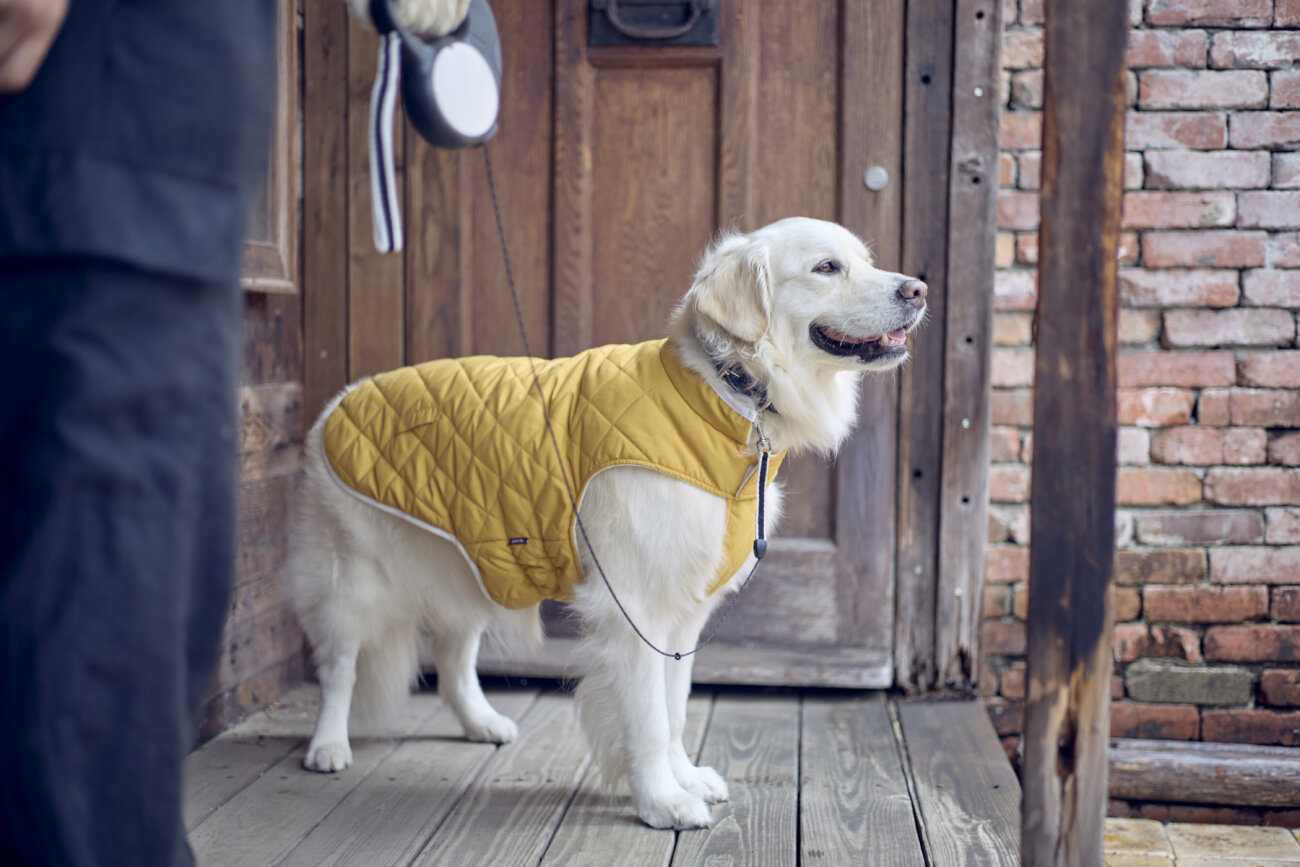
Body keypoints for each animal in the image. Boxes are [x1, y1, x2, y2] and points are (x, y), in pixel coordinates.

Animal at [289, 215, 930, 826]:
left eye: (867, 261)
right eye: (827, 267)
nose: (919, 289)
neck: (726, 394)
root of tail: (339, 401)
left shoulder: (684, 615)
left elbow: (674, 710)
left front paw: (685, 778)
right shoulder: (634, 608)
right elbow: (648, 718)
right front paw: (661, 802)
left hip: (475, 561)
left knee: (451, 659)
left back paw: (481, 723)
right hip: (354, 581)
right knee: (338, 668)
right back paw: (328, 747)